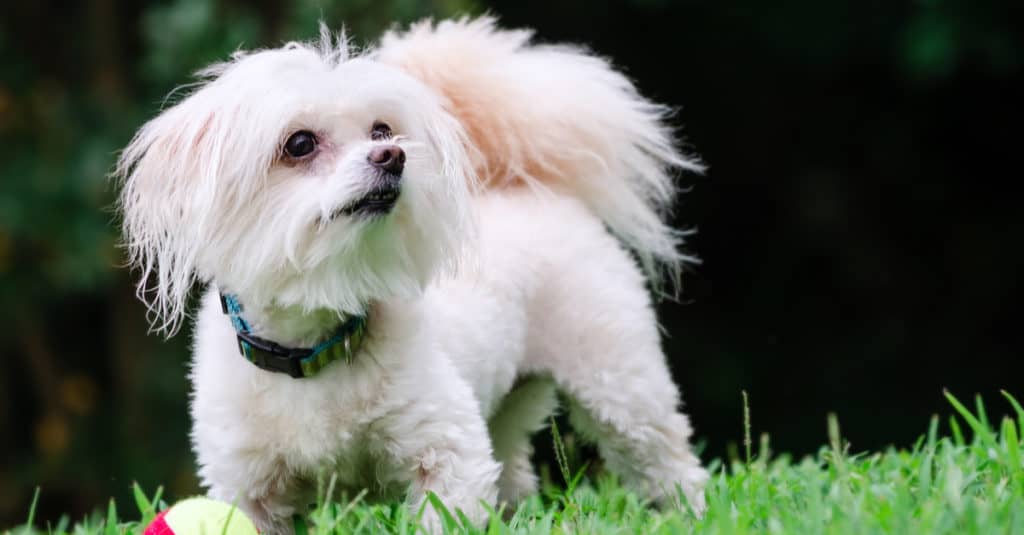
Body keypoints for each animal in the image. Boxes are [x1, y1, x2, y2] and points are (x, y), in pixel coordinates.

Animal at [116, 15, 708, 528]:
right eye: (299, 143)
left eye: (383, 130)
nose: (391, 156)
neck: (319, 345)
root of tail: (529, 185)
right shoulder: (247, 483)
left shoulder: (449, 449)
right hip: (509, 406)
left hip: (619, 381)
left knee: (667, 458)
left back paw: (691, 513)